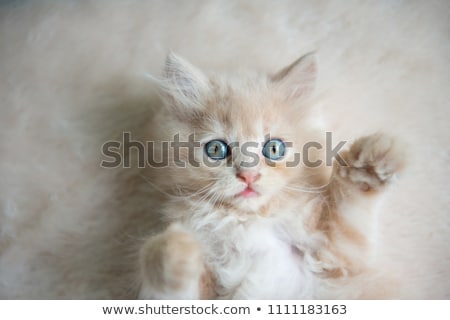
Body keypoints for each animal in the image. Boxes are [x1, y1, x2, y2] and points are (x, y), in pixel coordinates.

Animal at [137, 53, 404, 300]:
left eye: (273, 148)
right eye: (216, 149)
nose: (248, 176)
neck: (247, 221)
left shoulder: (336, 260)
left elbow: (349, 211)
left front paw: (371, 163)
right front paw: (172, 252)